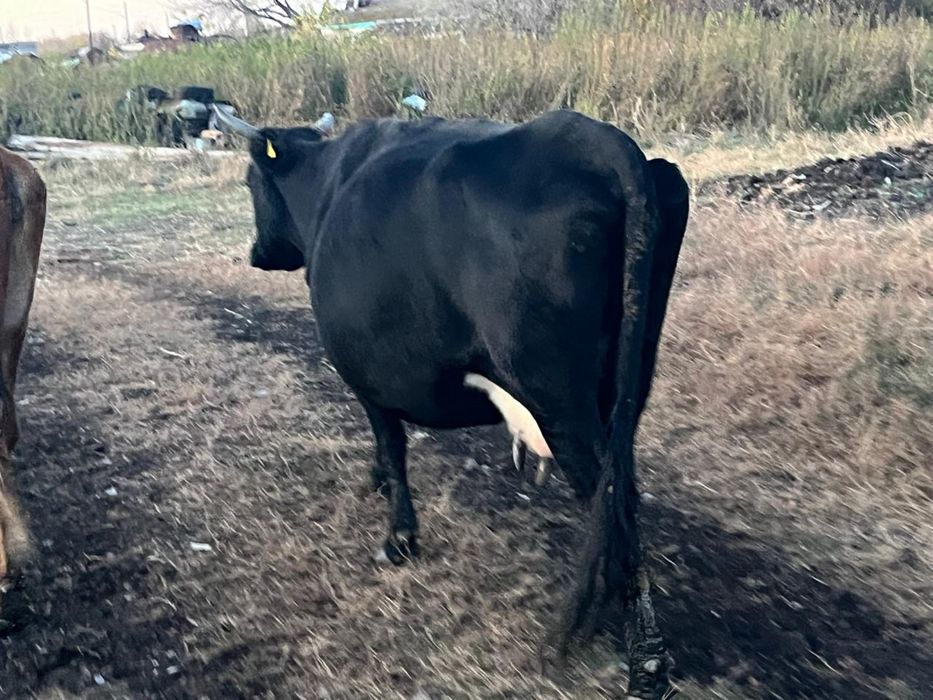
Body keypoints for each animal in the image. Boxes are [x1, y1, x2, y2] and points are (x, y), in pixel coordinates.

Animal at [213, 106, 689, 698]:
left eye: (249, 182)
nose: (257, 253)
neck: (327, 185)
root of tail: (593, 140)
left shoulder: (362, 370)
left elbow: (391, 441)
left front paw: (399, 537)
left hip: (562, 404)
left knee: (610, 499)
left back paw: (646, 661)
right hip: (627, 386)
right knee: (623, 488)